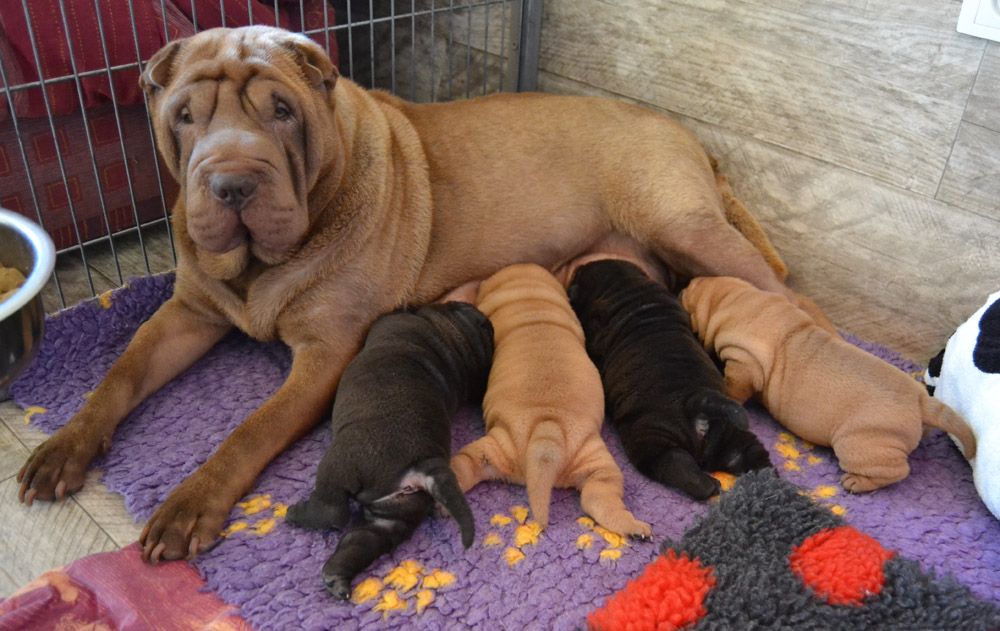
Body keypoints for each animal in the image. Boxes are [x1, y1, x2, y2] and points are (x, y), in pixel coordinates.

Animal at [288, 304, 494, 600]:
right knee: (363, 541)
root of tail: (422, 465)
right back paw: (337, 577)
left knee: (333, 512)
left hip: (342, 463)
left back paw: (297, 514)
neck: (452, 338)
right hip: (394, 514)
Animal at [452, 264, 652, 536]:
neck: (530, 299)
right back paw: (632, 526)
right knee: (598, 496)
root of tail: (547, 429)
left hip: (508, 445)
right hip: (589, 458)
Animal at [568, 260, 768, 502]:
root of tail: (697, 401)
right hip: (733, 436)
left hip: (652, 438)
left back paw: (709, 485)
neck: (628, 287)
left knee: (673, 463)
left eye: (578, 275)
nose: (577, 268)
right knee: (751, 453)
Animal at [680, 278, 976, 494]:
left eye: (686, 293)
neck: (736, 300)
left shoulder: (744, 363)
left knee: (897, 471)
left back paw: (857, 483)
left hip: (860, 443)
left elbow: (735, 387)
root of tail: (921, 401)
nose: (687, 282)